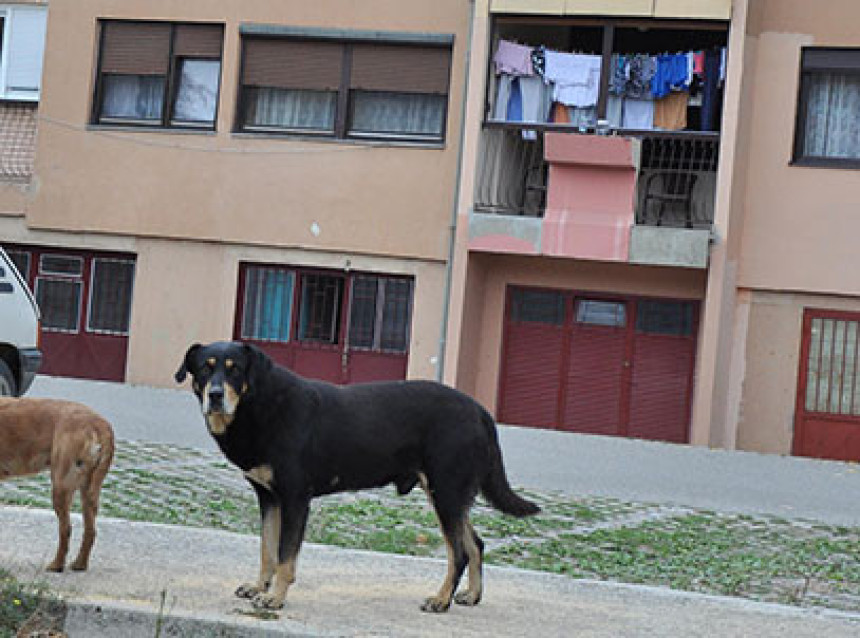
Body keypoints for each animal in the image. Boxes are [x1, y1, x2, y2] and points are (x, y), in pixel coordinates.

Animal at [0, 400, 114, 576]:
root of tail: (99, 424)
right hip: (87, 489)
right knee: (90, 530)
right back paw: (79, 564)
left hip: (61, 486)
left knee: (66, 529)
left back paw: (57, 565)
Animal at [174, 340, 536, 616]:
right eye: (205, 368)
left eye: (234, 368)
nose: (216, 395)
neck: (258, 405)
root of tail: (480, 411)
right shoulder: (269, 498)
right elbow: (267, 550)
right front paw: (258, 587)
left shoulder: (295, 499)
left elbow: (286, 558)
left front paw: (275, 598)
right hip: (448, 494)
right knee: (475, 544)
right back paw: (471, 595)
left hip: (446, 491)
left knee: (458, 553)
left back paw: (440, 600)